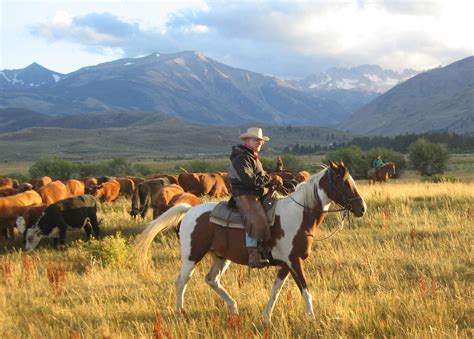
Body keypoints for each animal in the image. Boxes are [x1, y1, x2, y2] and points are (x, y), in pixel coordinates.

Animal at [133, 161, 366, 322]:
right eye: (345, 183)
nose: (361, 208)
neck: (298, 215)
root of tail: (190, 210)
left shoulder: (285, 265)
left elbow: (275, 292)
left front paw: (266, 317)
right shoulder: (295, 262)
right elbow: (306, 291)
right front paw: (312, 320)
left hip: (220, 257)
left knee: (211, 279)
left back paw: (233, 307)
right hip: (192, 256)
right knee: (182, 281)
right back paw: (179, 312)